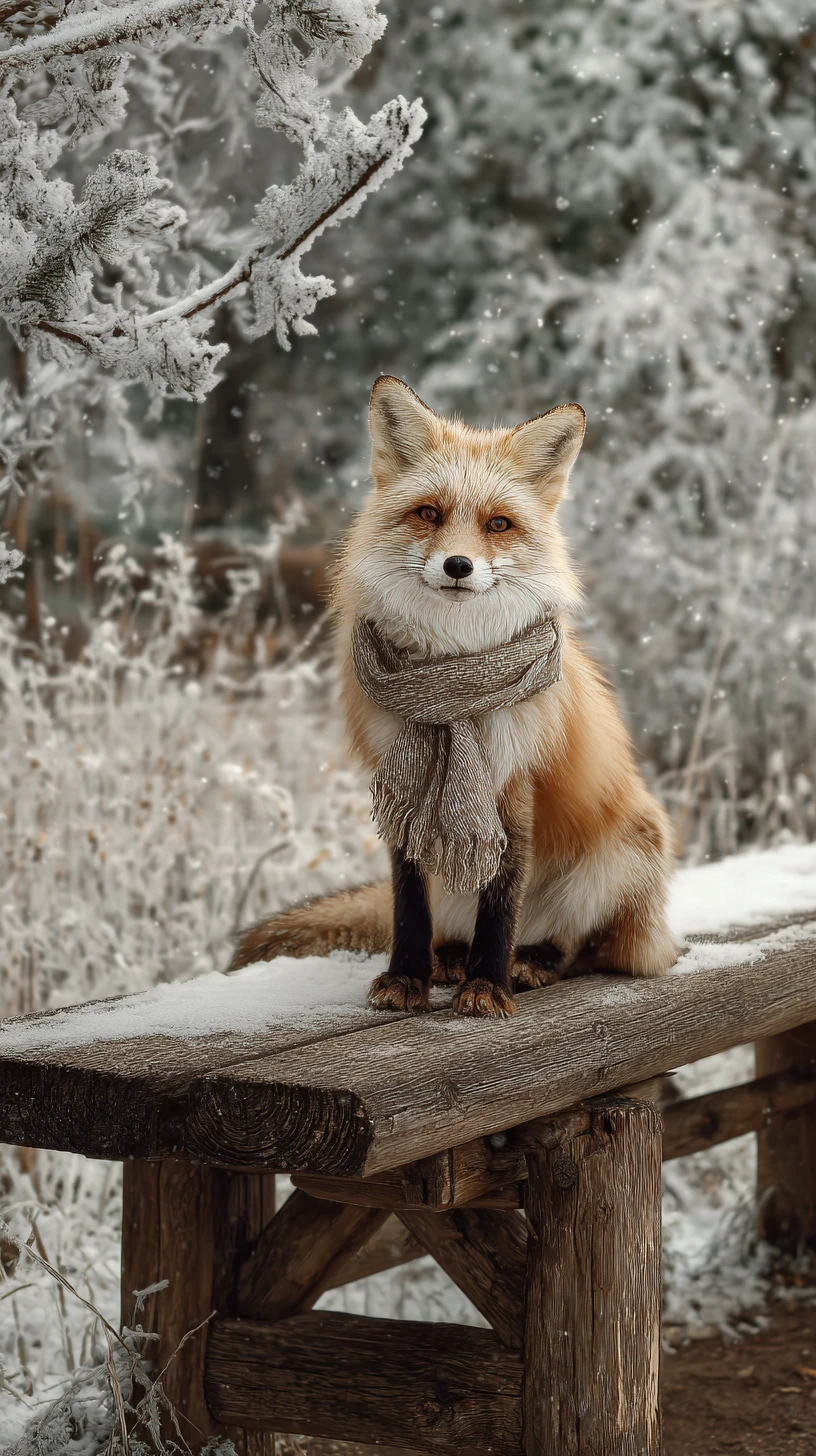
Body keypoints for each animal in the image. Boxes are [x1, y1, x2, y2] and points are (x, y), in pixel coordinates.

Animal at [231, 375, 678, 1017]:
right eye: (429, 513)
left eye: (498, 524)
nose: (459, 565)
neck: (455, 675)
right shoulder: (400, 780)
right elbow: (408, 902)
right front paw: (407, 978)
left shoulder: (516, 781)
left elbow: (502, 897)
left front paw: (488, 986)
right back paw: (448, 959)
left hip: (623, 854)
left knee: (590, 946)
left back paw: (530, 961)